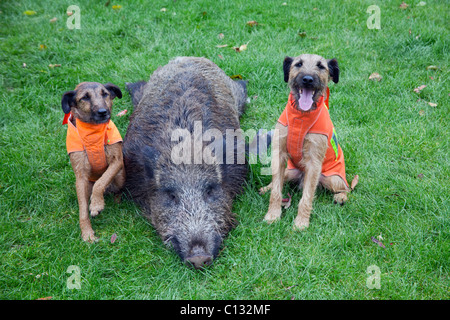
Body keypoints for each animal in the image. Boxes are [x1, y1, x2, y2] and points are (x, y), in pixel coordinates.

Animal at [61, 82, 125, 242]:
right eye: (85, 97)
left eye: (105, 94)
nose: (103, 112)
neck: (92, 132)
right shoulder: (81, 177)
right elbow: (83, 210)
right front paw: (87, 234)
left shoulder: (117, 161)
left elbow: (101, 181)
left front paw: (96, 204)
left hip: (121, 177)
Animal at [260, 54, 358, 230]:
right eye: (298, 64)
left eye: (321, 66)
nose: (307, 79)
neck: (301, 116)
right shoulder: (279, 155)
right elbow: (276, 191)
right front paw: (272, 215)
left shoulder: (313, 164)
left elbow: (306, 197)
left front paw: (301, 223)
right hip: (291, 171)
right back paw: (266, 188)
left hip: (332, 178)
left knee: (347, 188)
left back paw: (341, 197)